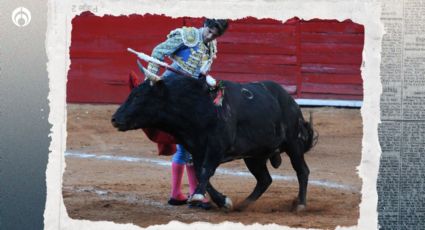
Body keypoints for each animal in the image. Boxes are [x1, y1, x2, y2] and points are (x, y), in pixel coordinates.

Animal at [111, 75, 316, 210]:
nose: (114, 119)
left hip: (293, 143)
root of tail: (290, 100)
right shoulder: (196, 150)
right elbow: (200, 172)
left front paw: (199, 197)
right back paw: (243, 205)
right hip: (254, 155)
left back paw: (301, 204)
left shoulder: (216, 148)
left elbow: (205, 171)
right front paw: (222, 201)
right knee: (265, 179)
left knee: (302, 170)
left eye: (139, 97)